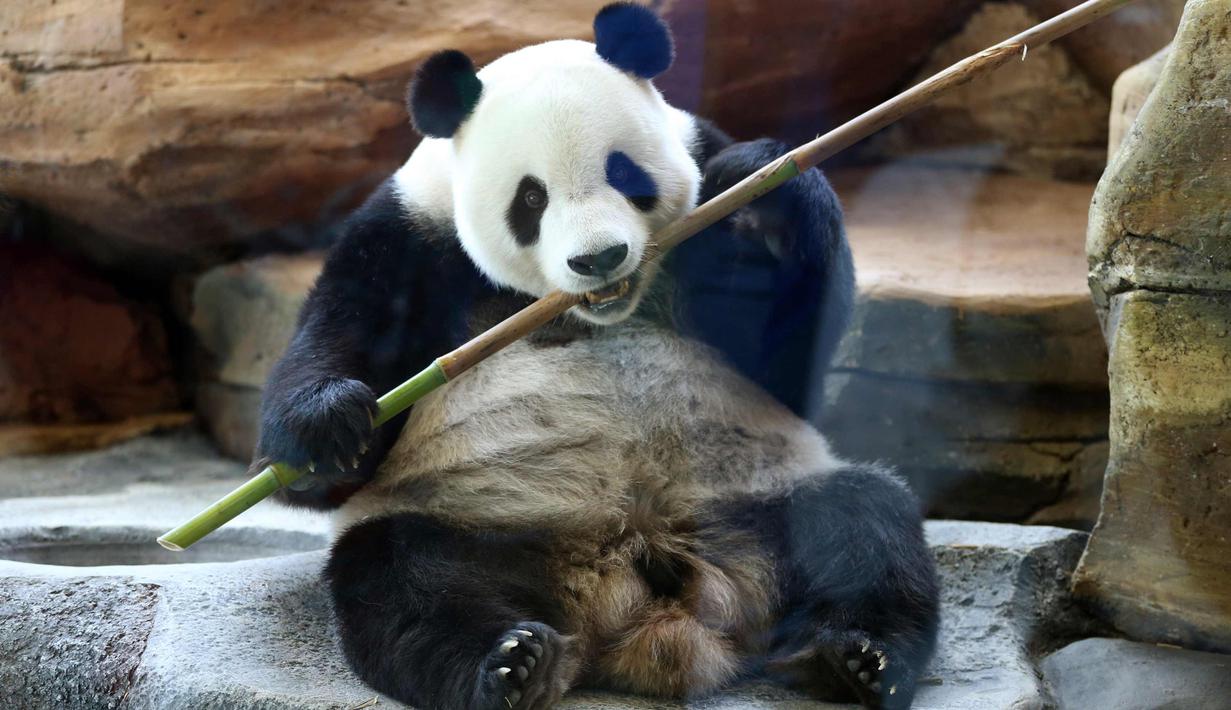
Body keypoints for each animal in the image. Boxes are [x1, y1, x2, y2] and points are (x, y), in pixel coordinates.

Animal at [255, 4, 939, 709]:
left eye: (622, 173)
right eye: (531, 199)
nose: (599, 259)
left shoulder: (702, 171)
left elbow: (789, 367)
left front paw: (764, 194)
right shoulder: (407, 239)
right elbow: (343, 367)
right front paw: (327, 428)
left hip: (752, 497)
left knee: (861, 522)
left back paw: (853, 656)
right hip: (479, 520)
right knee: (403, 583)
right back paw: (510, 665)